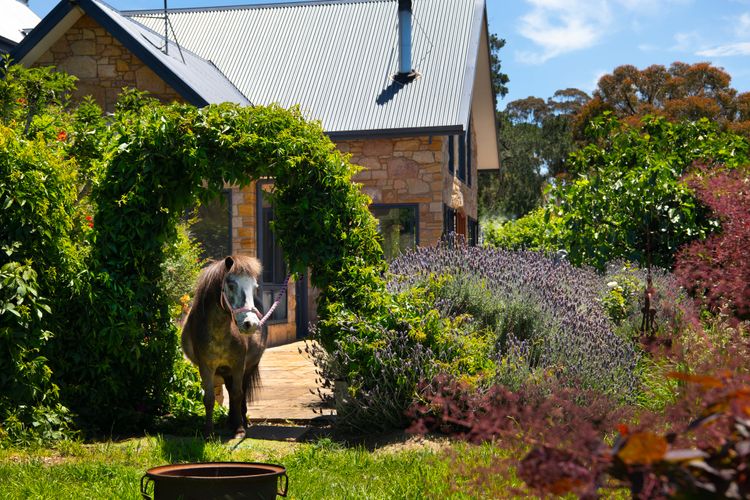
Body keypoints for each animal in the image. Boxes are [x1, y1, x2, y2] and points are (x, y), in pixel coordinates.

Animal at [181, 255, 266, 438]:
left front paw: (240, 429)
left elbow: (238, 394)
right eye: (231, 285)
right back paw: (230, 422)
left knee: (241, 391)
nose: (251, 324)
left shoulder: (238, 365)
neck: (219, 332)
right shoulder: (206, 367)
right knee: (230, 390)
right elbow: (209, 399)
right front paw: (208, 432)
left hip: (248, 367)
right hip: (226, 371)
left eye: (255, 288)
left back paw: (242, 421)